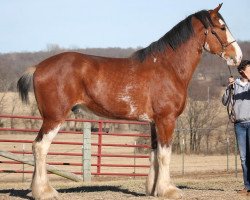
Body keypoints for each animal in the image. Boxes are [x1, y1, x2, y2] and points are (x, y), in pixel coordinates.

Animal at [16, 4, 241, 200]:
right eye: (222, 28)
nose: (238, 57)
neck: (168, 67)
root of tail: (38, 67)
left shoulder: (154, 123)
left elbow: (154, 155)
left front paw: (153, 189)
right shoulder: (166, 120)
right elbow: (165, 155)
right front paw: (169, 190)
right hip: (54, 118)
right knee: (40, 147)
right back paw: (45, 192)